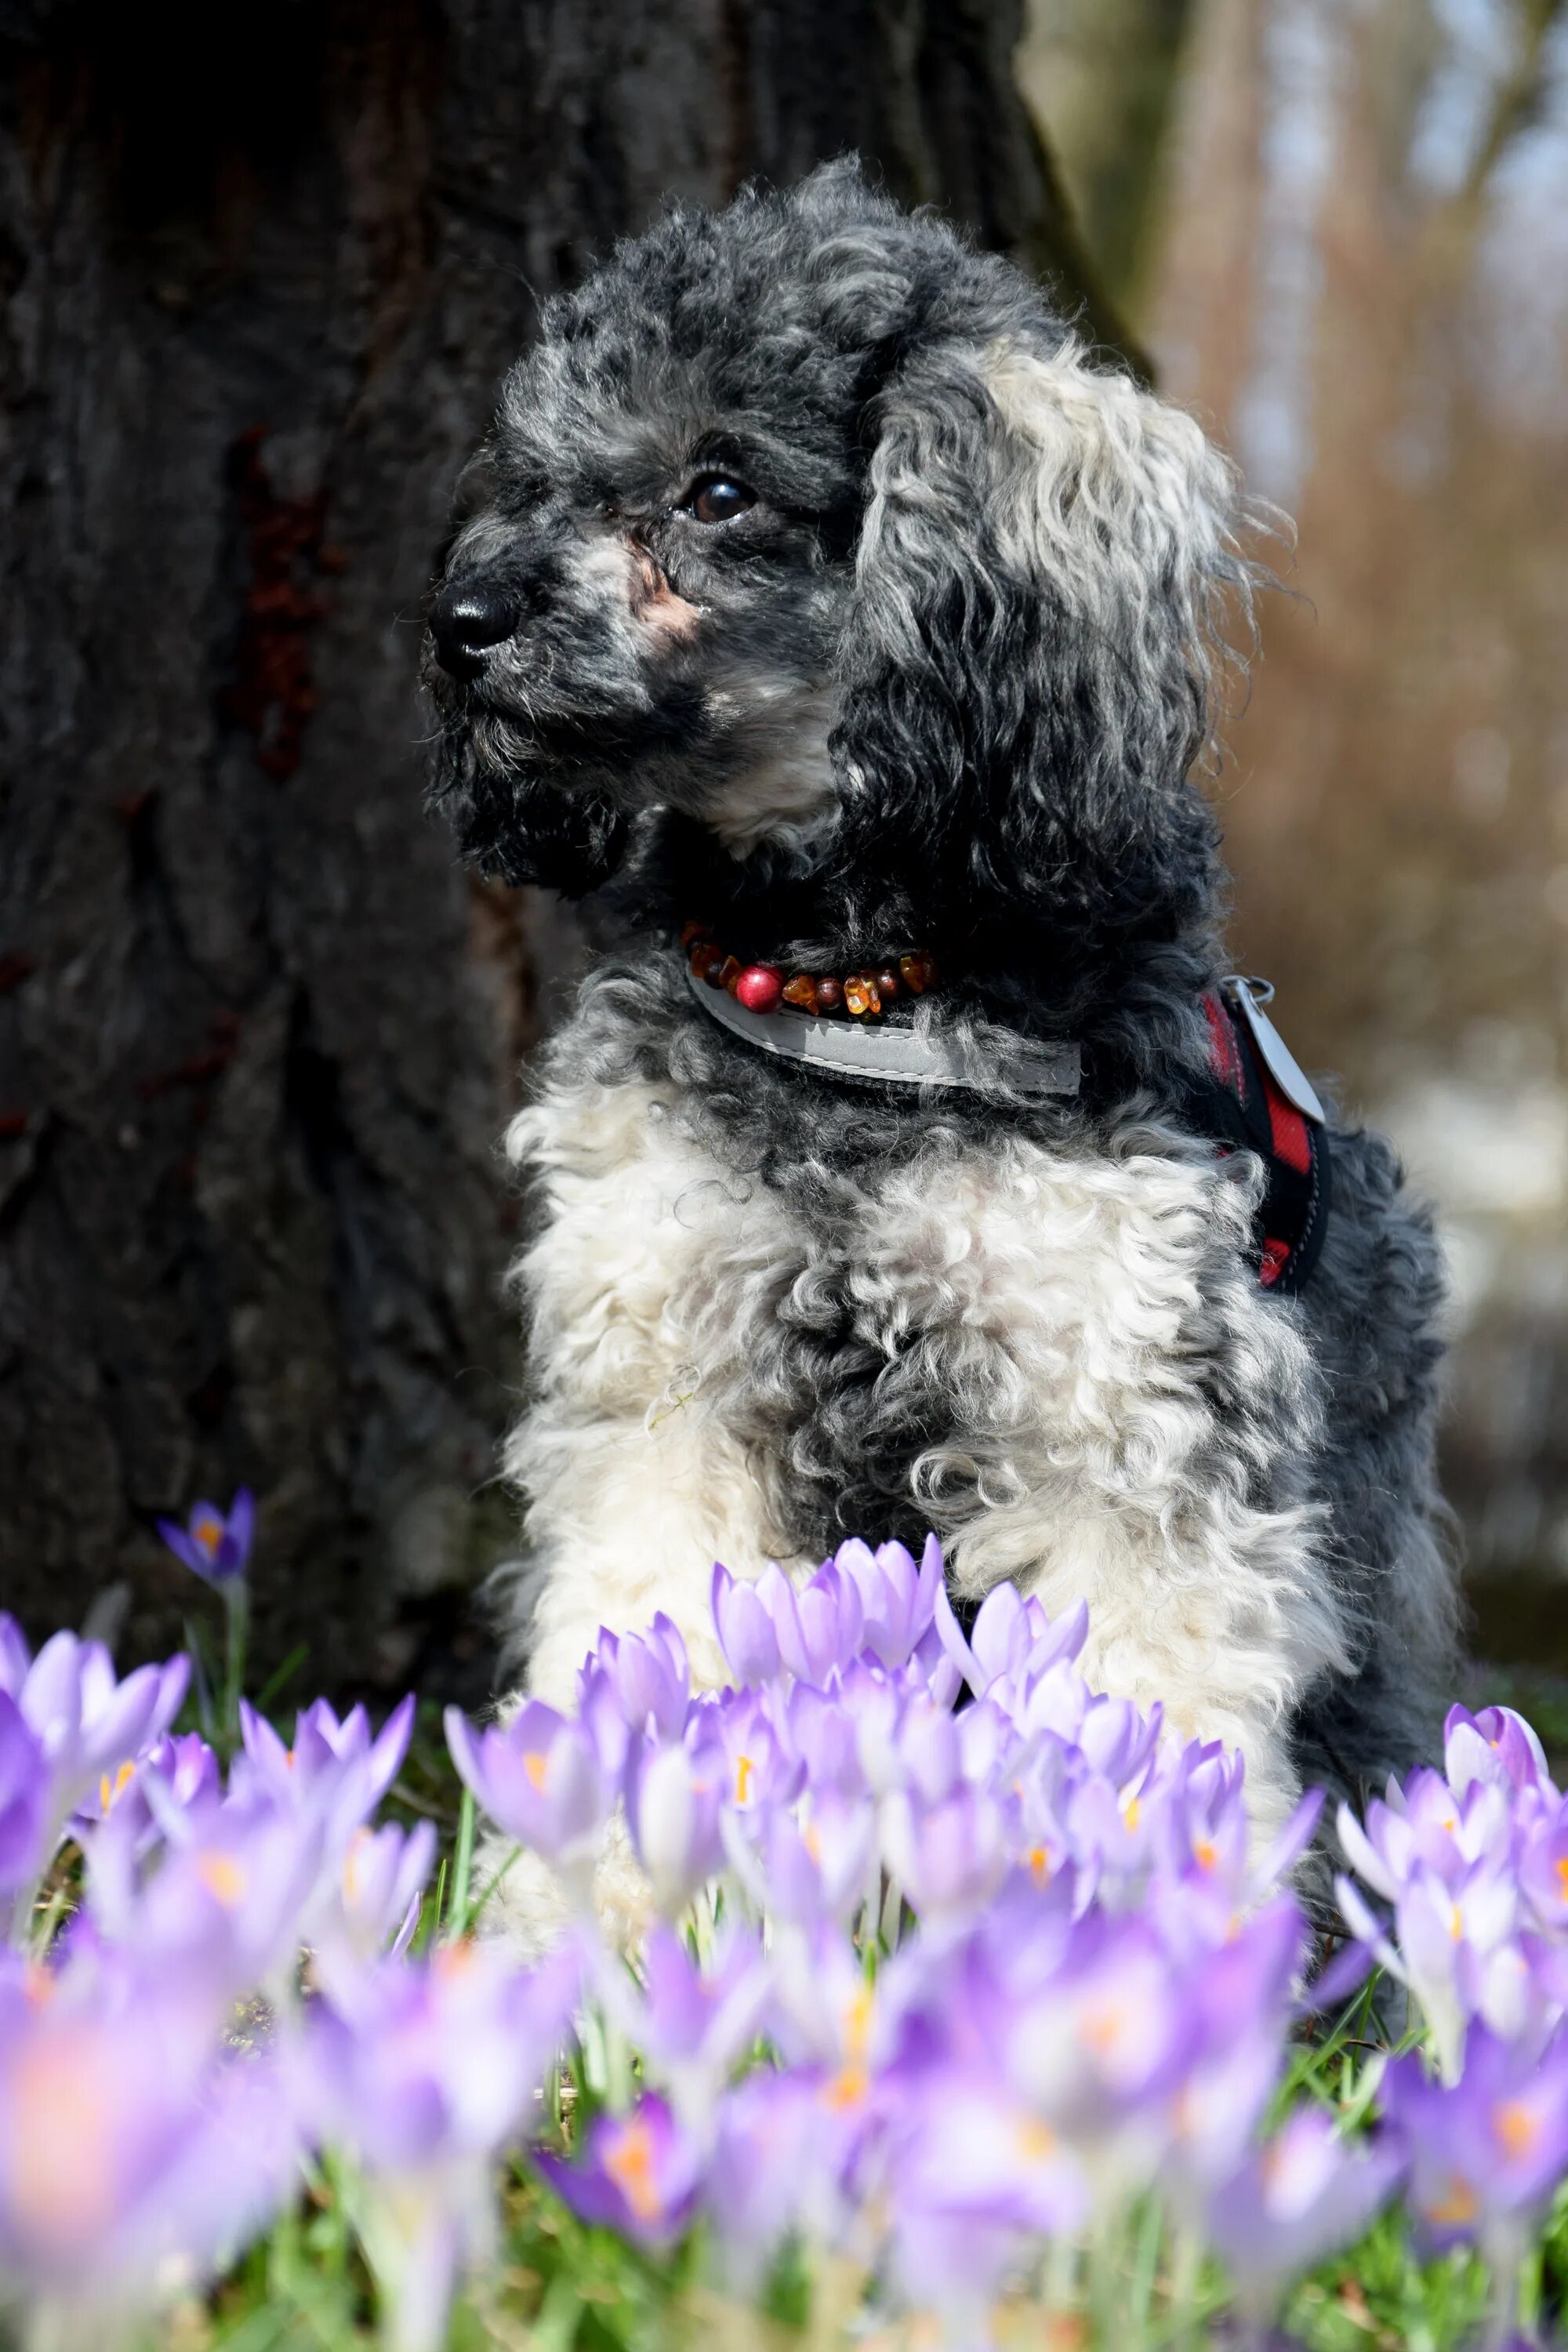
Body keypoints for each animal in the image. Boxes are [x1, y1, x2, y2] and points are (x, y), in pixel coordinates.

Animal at [420, 165, 1457, 1929]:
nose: (458, 620)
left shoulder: (1124, 1421)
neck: (854, 1002)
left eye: (717, 486)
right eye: (539, 471)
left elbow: (1156, 1718)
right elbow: (635, 1656)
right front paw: (591, 1937)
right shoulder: (674, 1387)